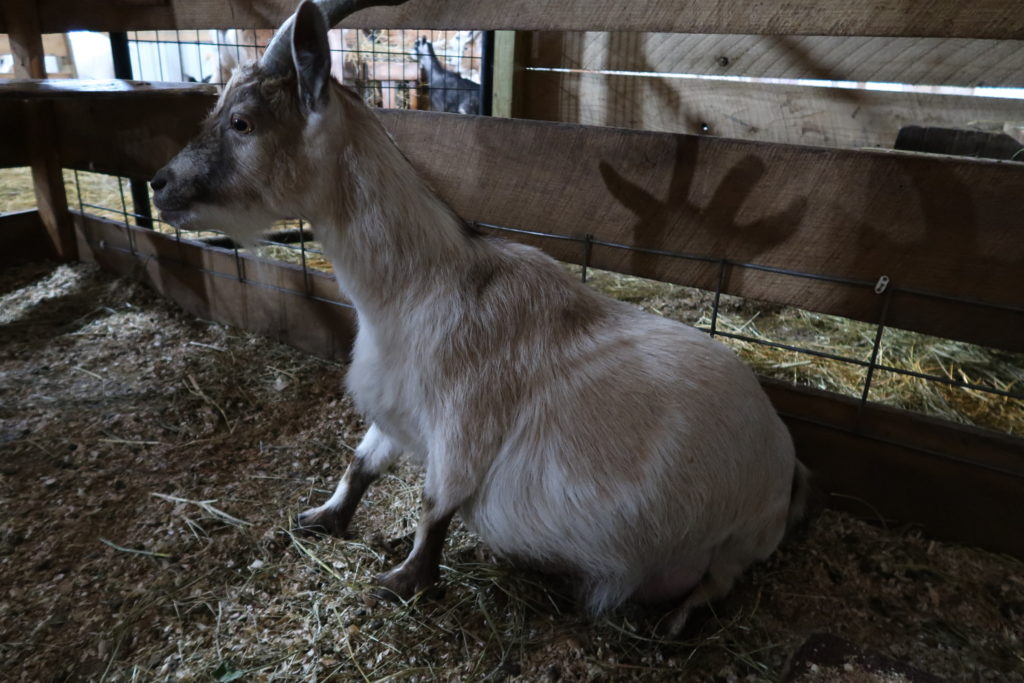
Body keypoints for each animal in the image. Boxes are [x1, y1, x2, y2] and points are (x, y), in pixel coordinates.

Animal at [151, 0, 806, 634]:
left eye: (242, 122)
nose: (159, 184)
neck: (420, 288)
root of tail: (786, 465)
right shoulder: (397, 408)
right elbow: (360, 466)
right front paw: (321, 517)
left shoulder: (462, 428)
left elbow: (434, 505)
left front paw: (401, 583)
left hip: (736, 543)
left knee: (716, 583)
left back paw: (673, 623)